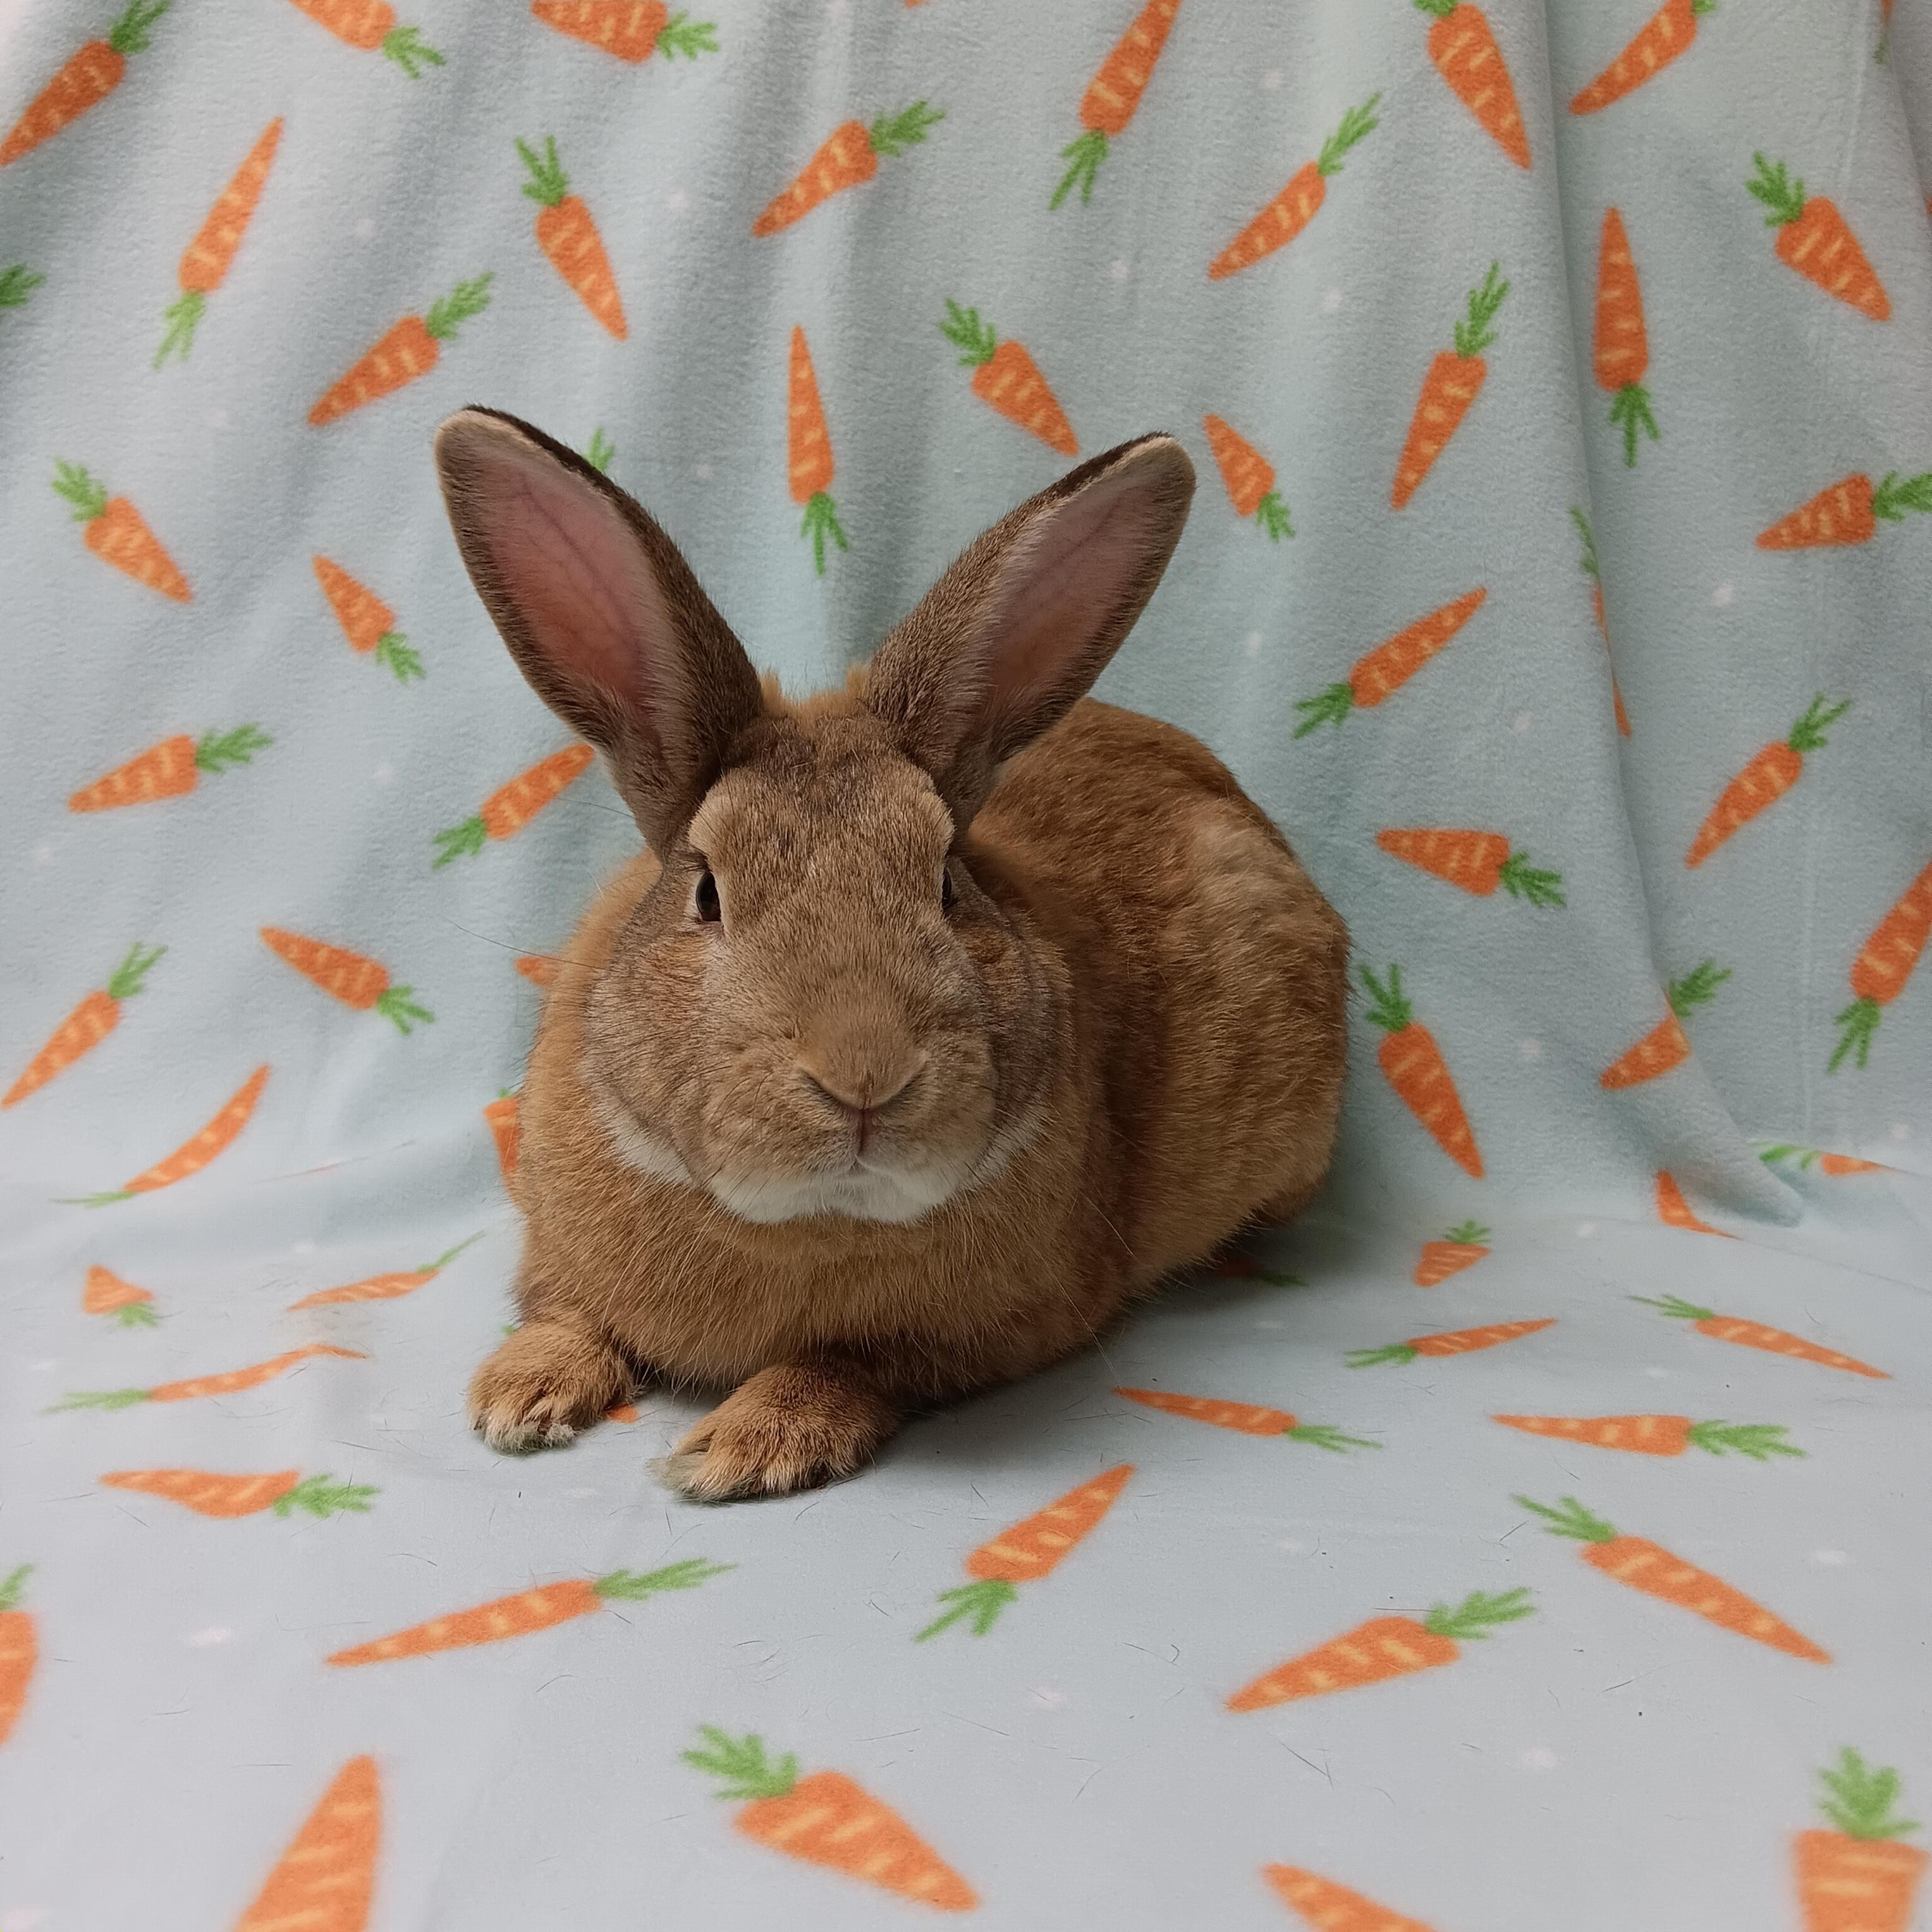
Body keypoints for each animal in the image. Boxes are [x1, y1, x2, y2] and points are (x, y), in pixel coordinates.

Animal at [433, 408, 1349, 1501]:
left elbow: (851, 1363)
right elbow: (562, 1315)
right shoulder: (558, 1256)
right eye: (707, 892)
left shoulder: (989, 1329)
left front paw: (747, 1447)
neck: (807, 1217)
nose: (864, 1078)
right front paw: (515, 1397)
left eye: (948, 883)